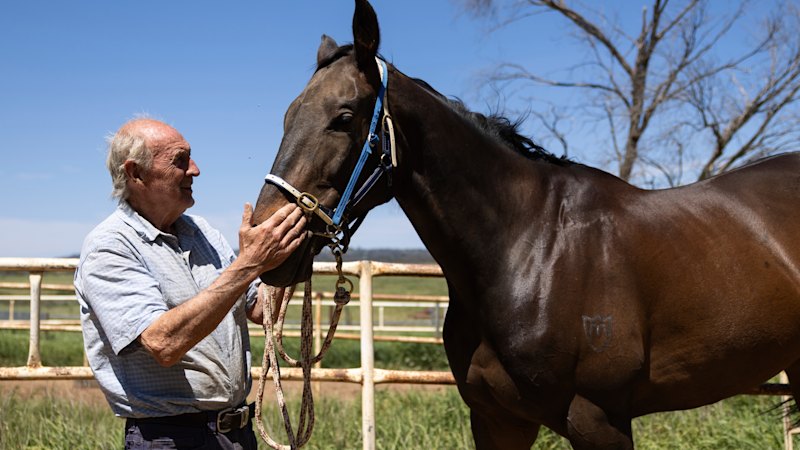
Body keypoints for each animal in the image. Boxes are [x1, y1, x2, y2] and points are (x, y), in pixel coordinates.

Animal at [252, 0, 800, 448]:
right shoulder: (497, 420)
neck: (529, 250)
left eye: (343, 117)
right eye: (286, 116)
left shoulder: (599, 421)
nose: (264, 241)